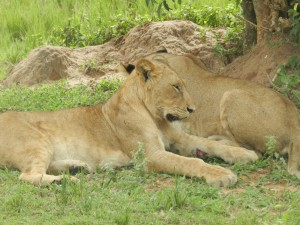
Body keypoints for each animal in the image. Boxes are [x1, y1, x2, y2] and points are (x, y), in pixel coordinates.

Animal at [0, 58, 253, 186]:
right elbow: (191, 162)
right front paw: (221, 174)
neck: (156, 117)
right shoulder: (151, 156)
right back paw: (62, 181)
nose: (192, 109)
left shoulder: (179, 138)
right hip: (36, 142)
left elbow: (211, 144)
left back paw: (77, 167)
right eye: (176, 87)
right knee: (28, 175)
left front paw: (245, 153)